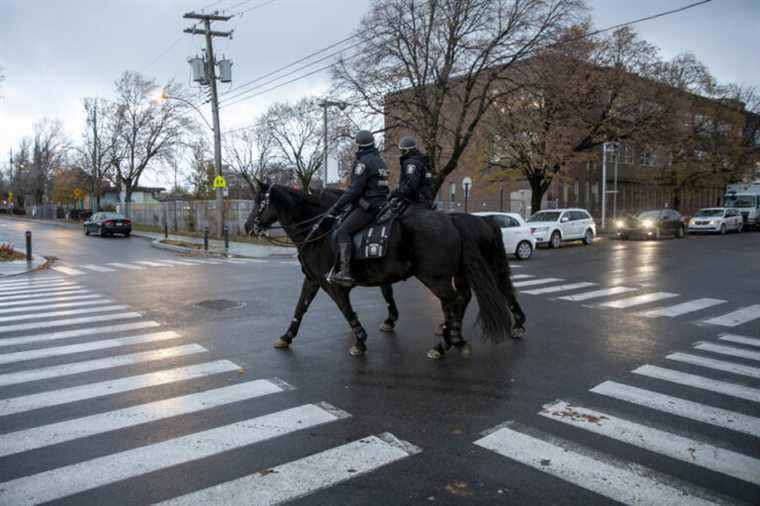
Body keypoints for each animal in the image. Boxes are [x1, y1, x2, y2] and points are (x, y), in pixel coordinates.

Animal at [246, 180, 524, 358]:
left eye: (259, 202)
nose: (249, 227)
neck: (319, 230)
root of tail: (457, 220)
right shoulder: (314, 280)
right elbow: (300, 308)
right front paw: (286, 336)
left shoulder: (333, 285)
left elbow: (347, 310)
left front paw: (360, 340)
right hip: (457, 273)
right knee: (462, 300)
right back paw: (455, 337)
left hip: (436, 276)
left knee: (455, 301)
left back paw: (447, 342)